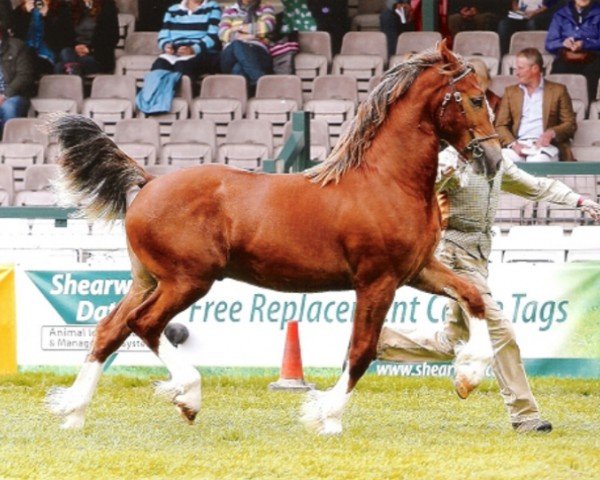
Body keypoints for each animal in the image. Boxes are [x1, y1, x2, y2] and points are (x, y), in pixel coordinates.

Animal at [45, 39, 502, 434]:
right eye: (475, 99)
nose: (494, 158)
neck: (386, 180)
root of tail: (149, 182)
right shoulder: (378, 280)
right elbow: (361, 351)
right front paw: (326, 416)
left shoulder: (418, 269)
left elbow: (474, 297)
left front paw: (468, 375)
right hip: (186, 280)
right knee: (144, 324)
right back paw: (187, 397)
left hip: (148, 280)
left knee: (110, 329)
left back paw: (73, 412)